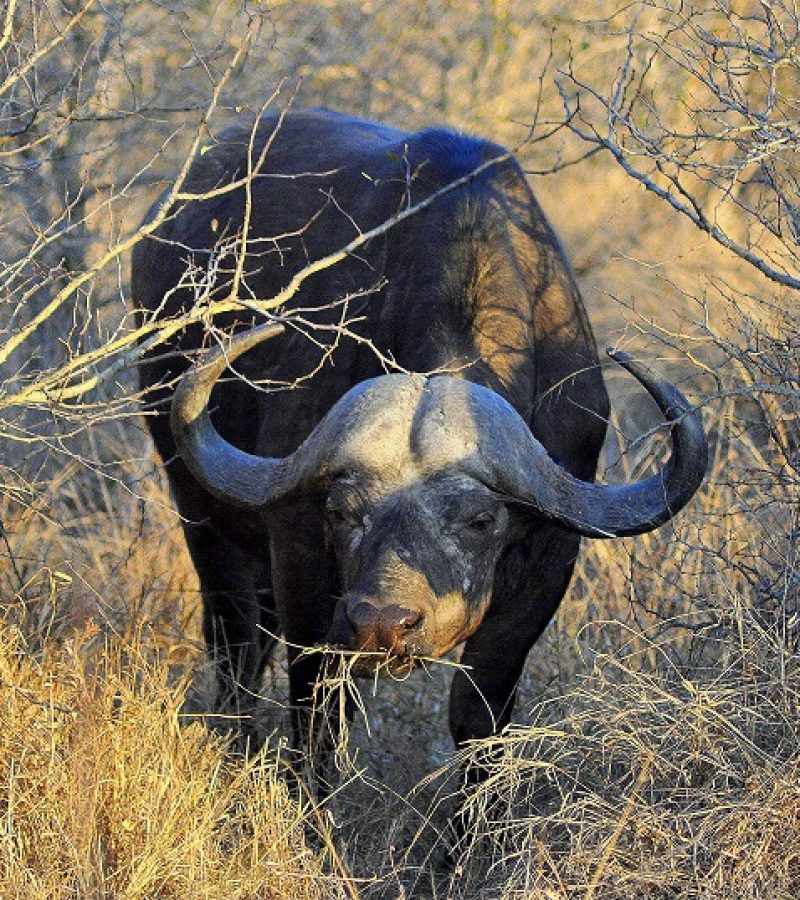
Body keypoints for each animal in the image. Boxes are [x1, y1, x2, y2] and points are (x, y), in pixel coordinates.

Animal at [132, 108, 706, 770]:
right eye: (341, 512)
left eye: (479, 522)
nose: (384, 624)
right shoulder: (299, 552)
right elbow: (317, 706)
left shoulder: (547, 567)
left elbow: (478, 713)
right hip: (196, 503)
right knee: (237, 641)